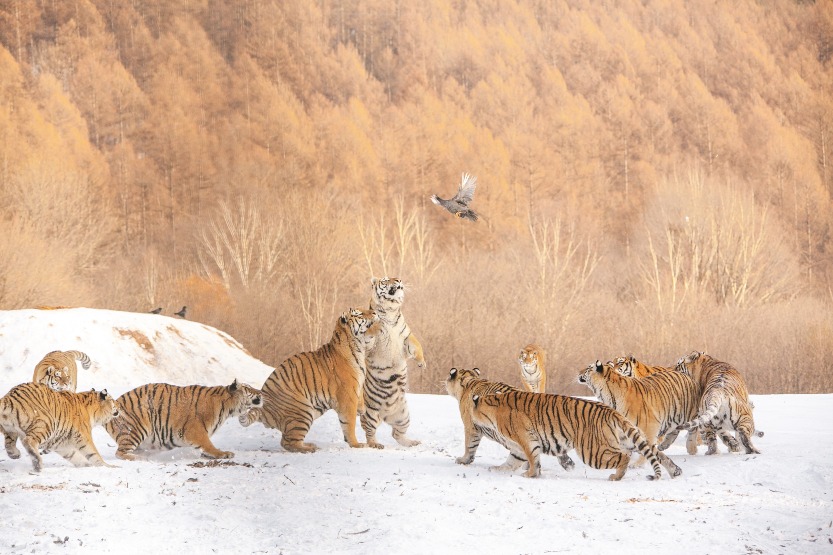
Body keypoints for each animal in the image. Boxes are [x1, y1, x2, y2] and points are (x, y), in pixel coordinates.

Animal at [104, 378, 262, 460]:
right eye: (249, 388)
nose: (261, 392)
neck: (228, 408)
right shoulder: (195, 430)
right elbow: (208, 444)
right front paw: (223, 453)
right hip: (135, 429)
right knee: (120, 452)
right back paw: (140, 458)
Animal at [242, 306, 382, 454]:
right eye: (360, 313)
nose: (375, 312)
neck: (360, 348)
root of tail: (264, 409)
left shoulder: (358, 386)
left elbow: (360, 399)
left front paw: (361, 409)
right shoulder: (347, 396)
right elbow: (349, 423)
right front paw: (356, 444)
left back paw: (309, 445)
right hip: (303, 412)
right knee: (288, 442)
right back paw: (309, 448)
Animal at [360, 276, 422, 450]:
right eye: (385, 280)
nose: (399, 279)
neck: (391, 312)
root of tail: (384, 415)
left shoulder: (406, 337)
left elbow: (417, 347)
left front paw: (422, 363)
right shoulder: (370, 343)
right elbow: (370, 333)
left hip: (403, 416)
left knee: (396, 434)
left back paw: (412, 442)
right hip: (371, 414)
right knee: (369, 433)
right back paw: (376, 444)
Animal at [472, 388, 680, 480]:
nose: (473, 423)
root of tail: (611, 411)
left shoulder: (526, 440)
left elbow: (532, 458)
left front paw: (530, 474)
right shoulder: (519, 447)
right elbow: (511, 461)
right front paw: (497, 469)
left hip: (592, 452)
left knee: (624, 456)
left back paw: (616, 476)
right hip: (626, 440)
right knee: (655, 453)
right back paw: (675, 471)